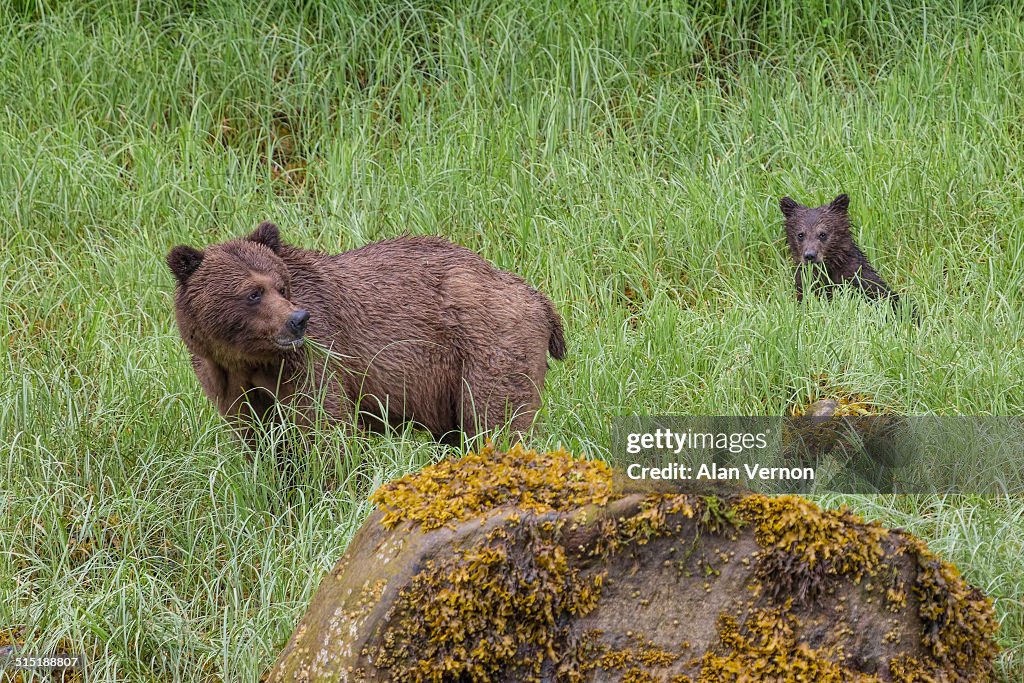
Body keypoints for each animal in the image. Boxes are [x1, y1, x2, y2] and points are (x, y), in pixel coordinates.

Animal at [169, 222, 569, 446]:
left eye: (282, 286)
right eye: (253, 293)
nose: (297, 320)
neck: (249, 357)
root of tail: (536, 295)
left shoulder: (312, 359)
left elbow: (326, 429)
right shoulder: (225, 380)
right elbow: (259, 440)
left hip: (489, 348)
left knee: (495, 424)